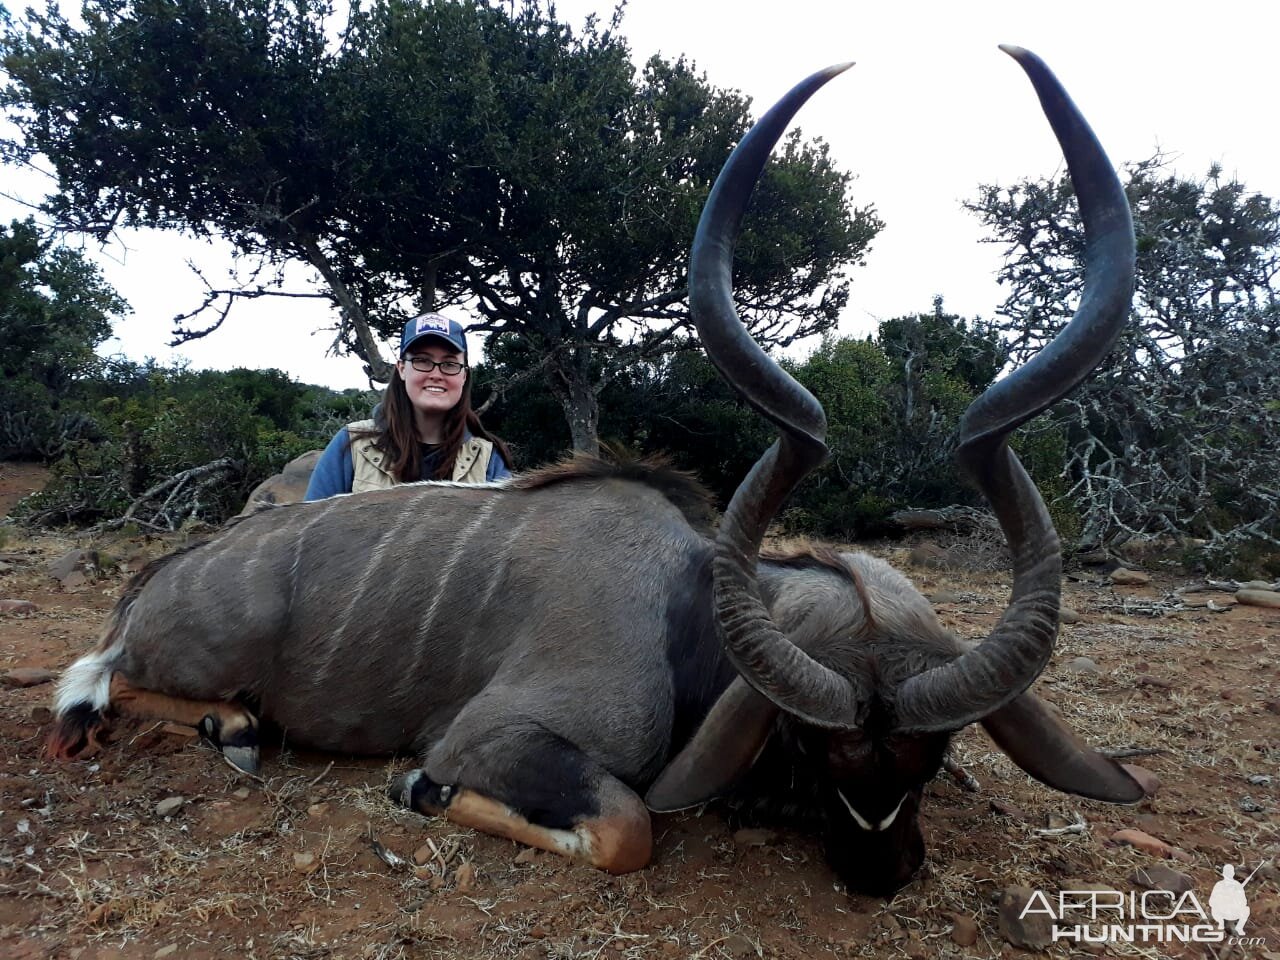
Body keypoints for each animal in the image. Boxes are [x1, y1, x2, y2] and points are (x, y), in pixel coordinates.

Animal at [47, 48, 1141, 901]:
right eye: (804, 744)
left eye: (936, 754)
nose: (881, 872)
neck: (684, 610)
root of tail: (160, 580)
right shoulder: (490, 737)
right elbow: (626, 828)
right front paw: (418, 791)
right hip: (184, 664)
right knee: (104, 687)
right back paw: (228, 725)